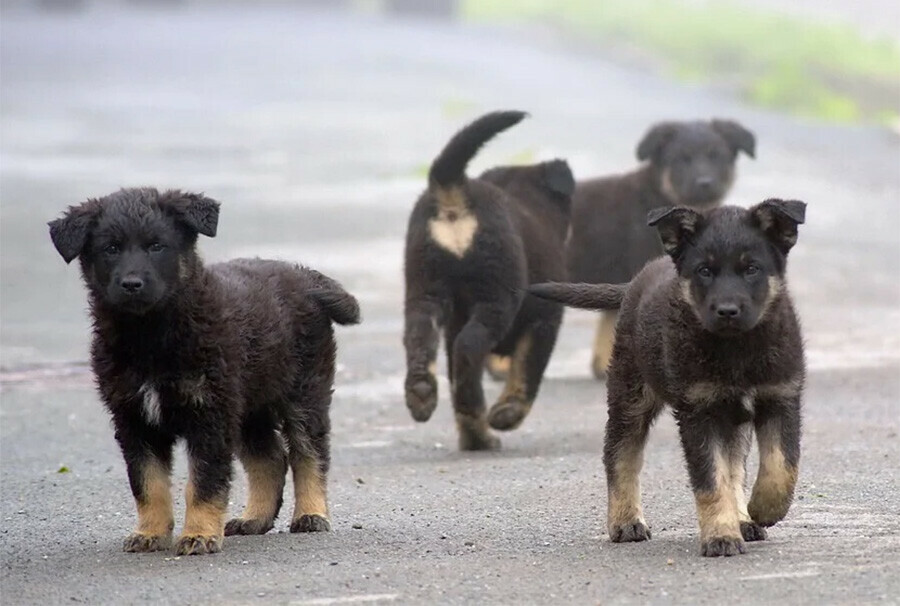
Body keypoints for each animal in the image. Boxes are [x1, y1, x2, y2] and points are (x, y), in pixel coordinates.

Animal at [50, 189, 362, 556]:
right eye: (110, 249)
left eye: (157, 246)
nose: (132, 284)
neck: (151, 335)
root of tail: (306, 277)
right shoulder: (133, 418)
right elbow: (148, 483)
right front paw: (150, 533)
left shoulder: (209, 414)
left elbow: (204, 481)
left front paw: (198, 534)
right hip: (248, 406)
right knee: (271, 459)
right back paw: (254, 518)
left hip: (303, 392)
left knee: (309, 453)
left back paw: (311, 514)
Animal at [402, 111, 572, 452]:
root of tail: (455, 190)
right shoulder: (546, 319)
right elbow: (527, 371)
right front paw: (507, 414)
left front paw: (474, 436)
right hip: (496, 295)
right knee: (470, 348)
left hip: (424, 287)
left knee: (421, 337)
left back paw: (423, 393)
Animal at [532, 201, 804, 560]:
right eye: (704, 271)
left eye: (751, 269)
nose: (727, 310)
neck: (736, 350)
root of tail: (633, 284)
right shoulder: (698, 411)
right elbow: (710, 480)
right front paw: (721, 536)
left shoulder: (781, 397)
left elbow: (781, 465)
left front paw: (760, 509)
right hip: (630, 395)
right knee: (620, 454)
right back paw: (626, 521)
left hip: (730, 420)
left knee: (734, 467)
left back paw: (743, 518)